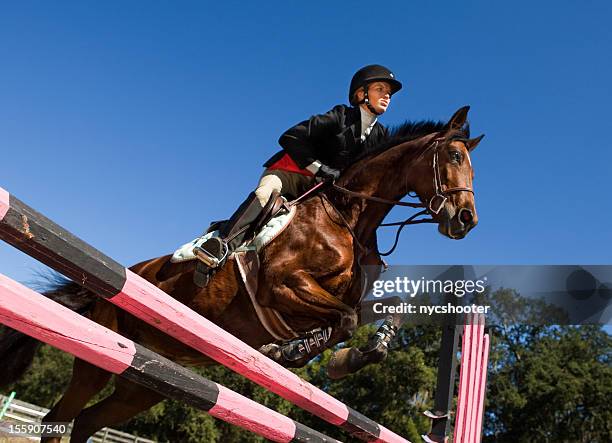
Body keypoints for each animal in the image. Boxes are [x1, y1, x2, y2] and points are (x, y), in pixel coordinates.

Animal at [0, 106, 482, 442]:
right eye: (453, 155)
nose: (466, 220)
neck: (349, 218)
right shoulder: (284, 285)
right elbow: (342, 321)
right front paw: (298, 352)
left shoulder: (344, 297)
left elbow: (382, 310)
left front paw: (350, 354)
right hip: (99, 352)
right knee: (59, 419)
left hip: (147, 377)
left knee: (85, 422)